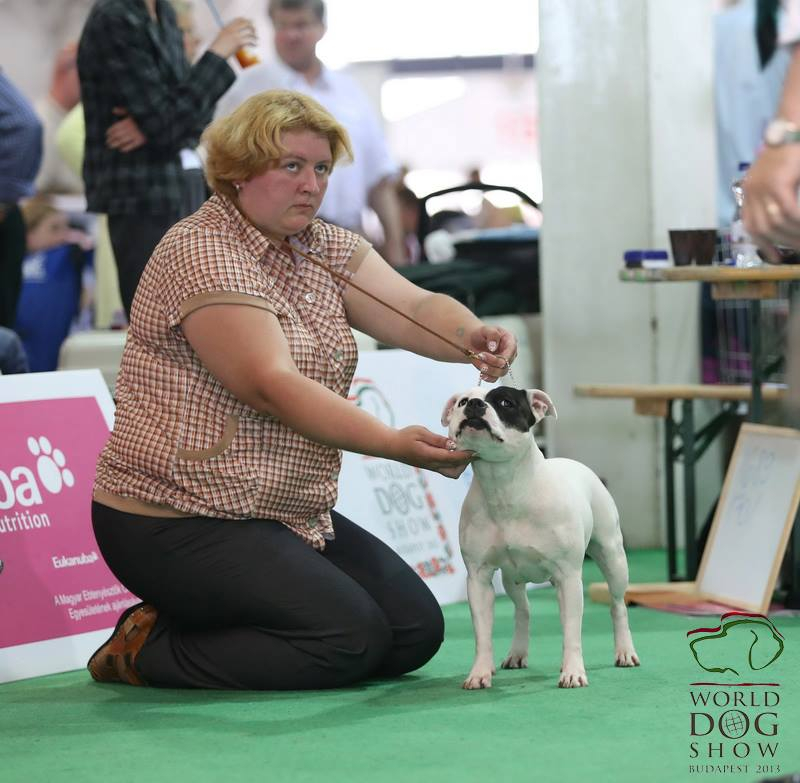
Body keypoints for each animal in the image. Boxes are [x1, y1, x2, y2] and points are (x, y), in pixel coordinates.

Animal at [441, 386, 640, 689]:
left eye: (505, 402)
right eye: (462, 401)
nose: (474, 404)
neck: (504, 486)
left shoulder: (568, 576)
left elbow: (572, 630)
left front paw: (573, 672)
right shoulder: (479, 578)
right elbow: (482, 633)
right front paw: (479, 672)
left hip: (613, 558)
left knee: (617, 605)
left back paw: (625, 652)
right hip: (512, 578)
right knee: (523, 610)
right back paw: (516, 653)